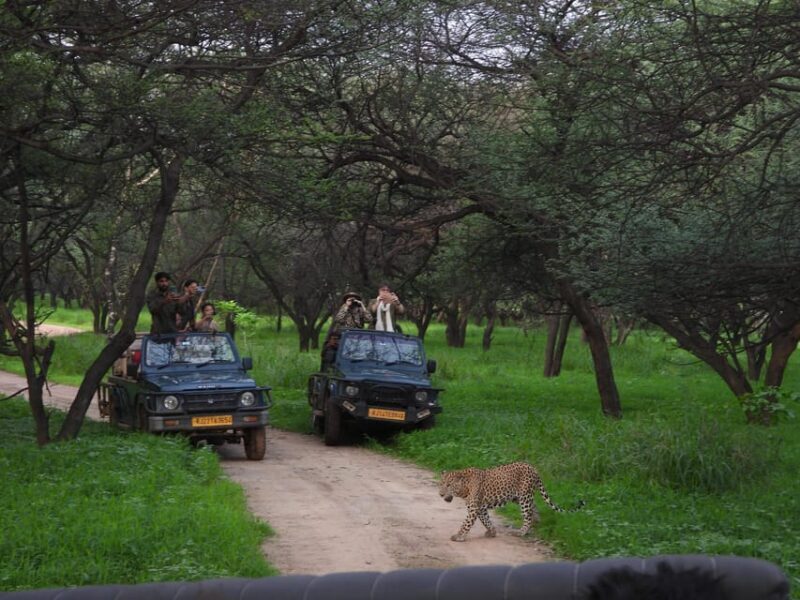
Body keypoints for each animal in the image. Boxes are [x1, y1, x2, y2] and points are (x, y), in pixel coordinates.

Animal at [438, 461, 582, 542]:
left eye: (449, 485)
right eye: (441, 484)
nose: (440, 494)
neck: (464, 488)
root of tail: (533, 468)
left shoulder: (474, 508)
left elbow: (466, 523)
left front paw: (459, 536)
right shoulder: (480, 508)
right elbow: (486, 520)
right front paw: (492, 532)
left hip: (524, 497)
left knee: (528, 515)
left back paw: (522, 531)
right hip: (519, 498)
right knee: (534, 510)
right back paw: (535, 525)